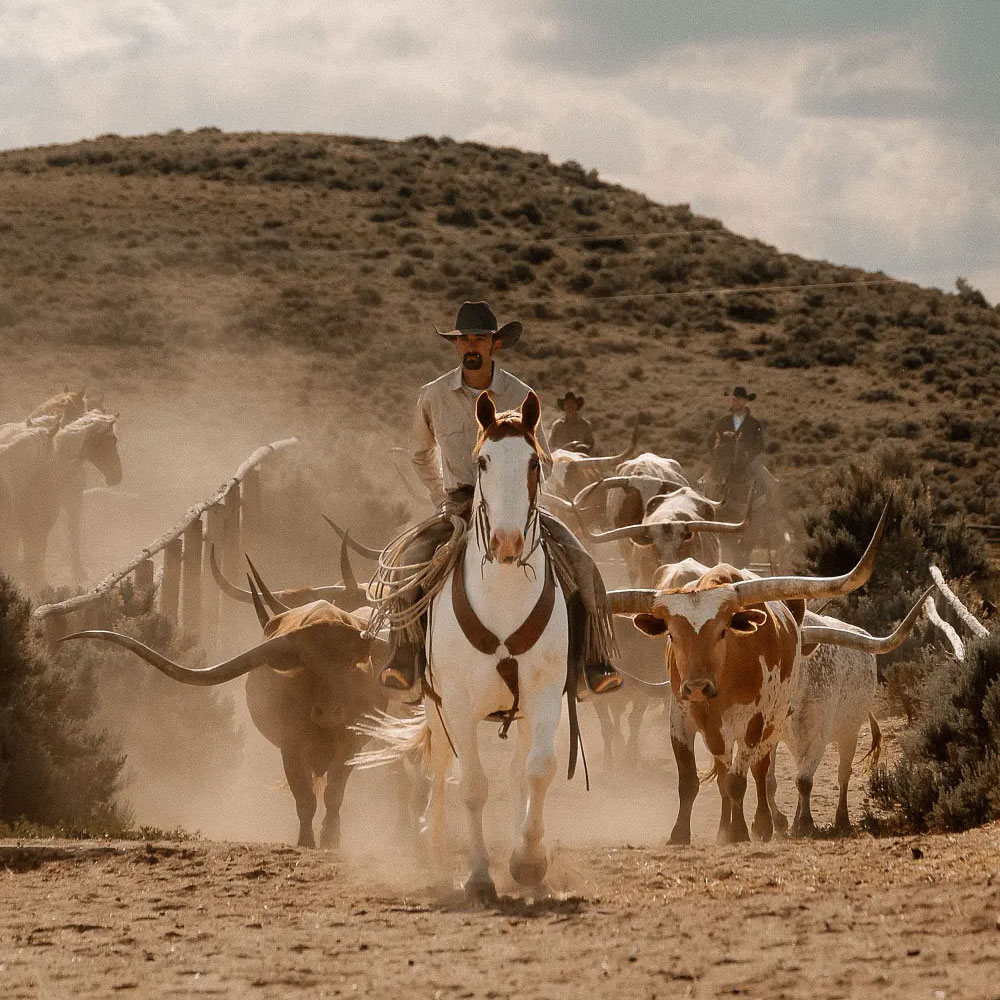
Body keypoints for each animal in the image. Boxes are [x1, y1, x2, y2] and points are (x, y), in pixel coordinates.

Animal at [356, 390, 571, 901]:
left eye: (534, 461)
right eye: (483, 461)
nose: (508, 542)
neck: (504, 596)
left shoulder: (545, 693)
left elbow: (538, 770)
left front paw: (528, 862)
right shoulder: (455, 701)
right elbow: (470, 785)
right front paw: (477, 876)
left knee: (516, 770)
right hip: (437, 709)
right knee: (438, 769)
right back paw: (434, 857)